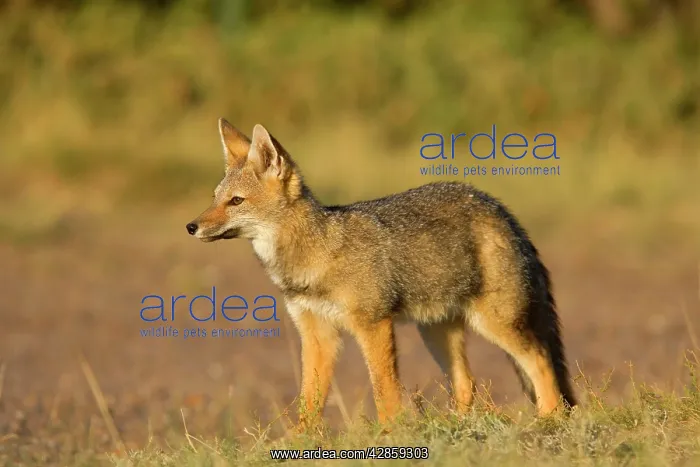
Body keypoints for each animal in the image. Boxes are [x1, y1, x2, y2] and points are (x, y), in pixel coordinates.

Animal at [186, 118, 577, 428]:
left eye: (236, 201)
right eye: (214, 198)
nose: (191, 227)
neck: (316, 255)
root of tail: (495, 204)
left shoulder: (373, 325)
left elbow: (383, 390)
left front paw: (390, 434)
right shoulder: (317, 335)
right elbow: (309, 401)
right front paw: (300, 442)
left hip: (494, 323)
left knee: (542, 361)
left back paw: (549, 421)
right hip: (436, 332)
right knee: (468, 386)